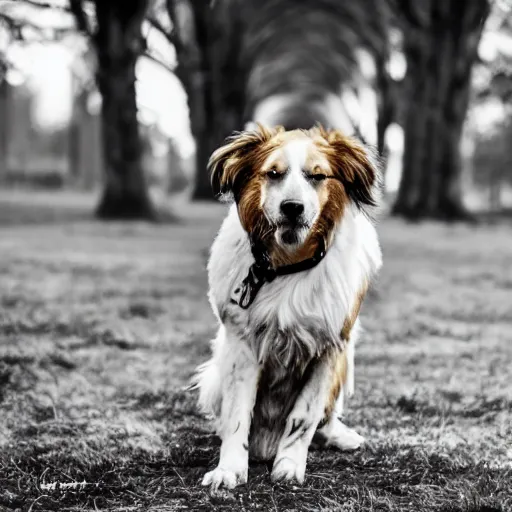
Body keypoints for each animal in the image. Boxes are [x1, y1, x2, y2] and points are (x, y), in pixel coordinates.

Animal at [194, 123, 382, 488]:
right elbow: (238, 415)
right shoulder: (242, 346)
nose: (292, 207)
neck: (287, 265)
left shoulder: (330, 347)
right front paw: (229, 469)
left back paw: (339, 436)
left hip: (345, 365)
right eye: (273, 173)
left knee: (325, 417)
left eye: (317, 176)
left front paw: (289, 465)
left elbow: (304, 416)